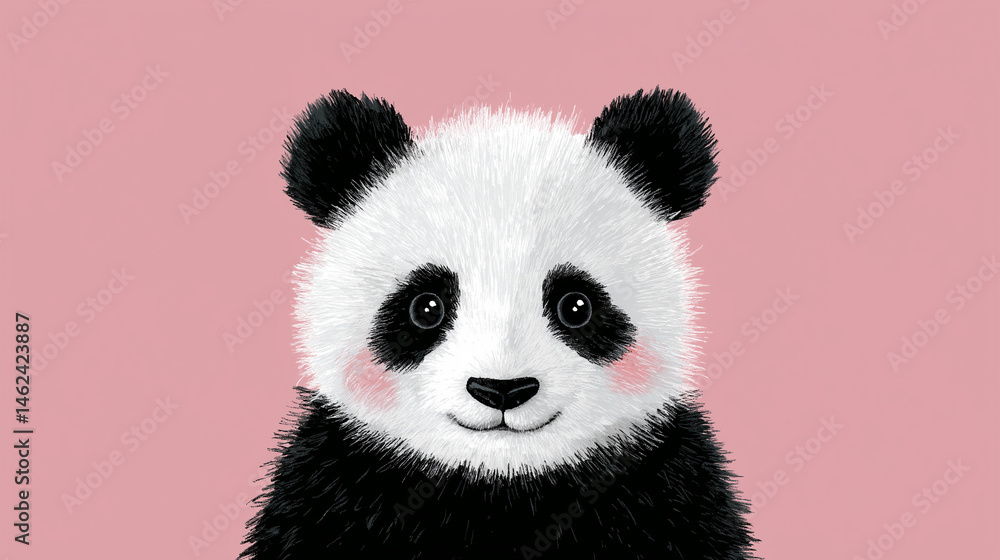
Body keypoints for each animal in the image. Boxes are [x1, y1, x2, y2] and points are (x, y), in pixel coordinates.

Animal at [240, 88, 756, 559]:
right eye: (426, 307)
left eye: (576, 306)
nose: (502, 389)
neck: (500, 483)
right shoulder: (333, 485)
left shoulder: (666, 485)